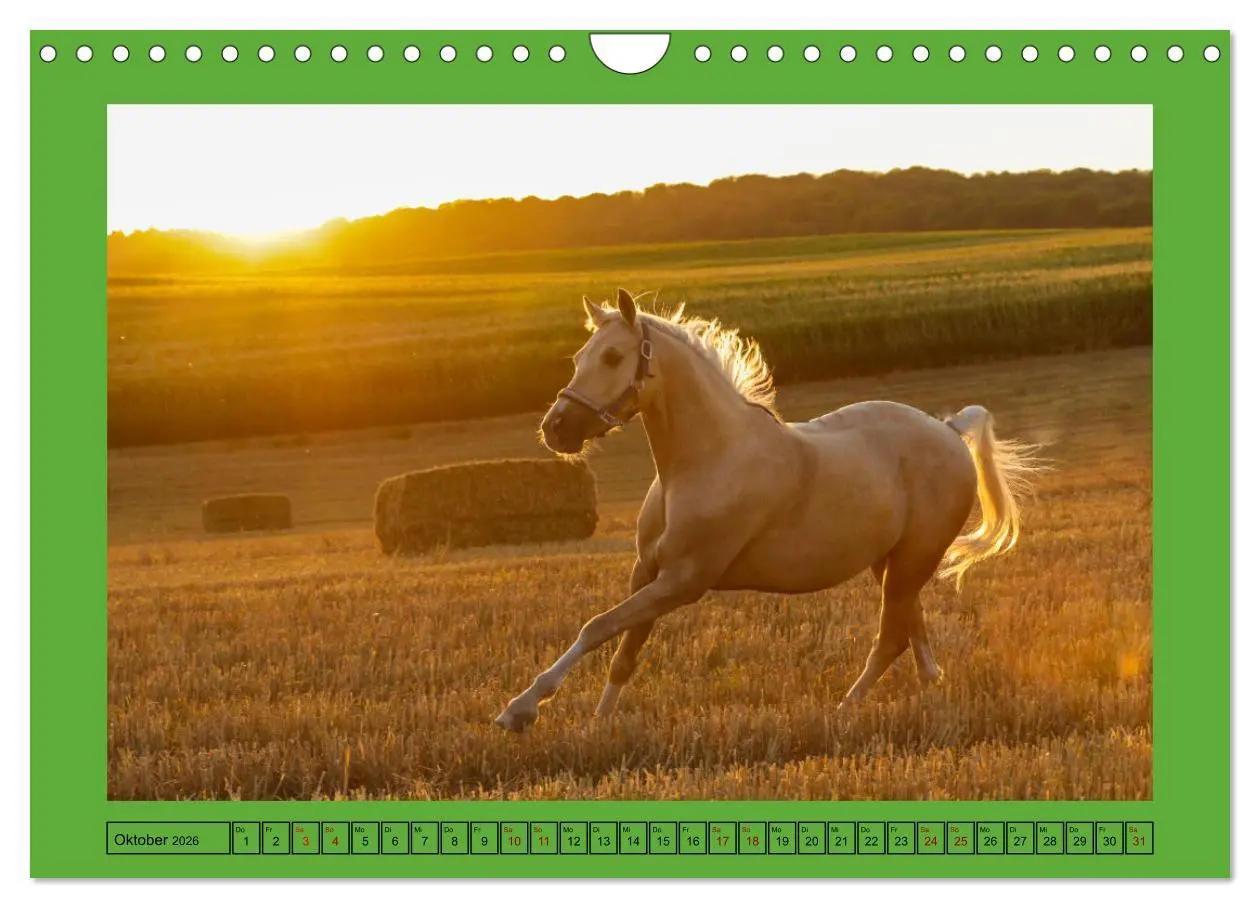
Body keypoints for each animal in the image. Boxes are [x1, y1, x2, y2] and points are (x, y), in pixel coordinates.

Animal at [494, 289, 1042, 732]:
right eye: (579, 356)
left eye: (612, 356)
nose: (556, 428)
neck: (707, 459)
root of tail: (949, 429)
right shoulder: (647, 571)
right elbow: (623, 653)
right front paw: (598, 725)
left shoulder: (683, 581)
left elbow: (597, 627)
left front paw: (520, 710)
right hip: (891, 564)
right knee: (912, 635)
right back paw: (927, 695)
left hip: (913, 560)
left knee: (890, 638)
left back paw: (842, 712)